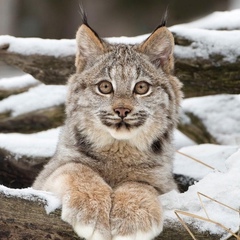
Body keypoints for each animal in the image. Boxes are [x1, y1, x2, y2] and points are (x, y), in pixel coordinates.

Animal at [32, 15, 182, 240]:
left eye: (141, 87)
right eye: (104, 87)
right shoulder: (45, 178)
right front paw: (90, 211)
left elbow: (140, 184)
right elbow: (77, 169)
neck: (119, 148)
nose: (122, 110)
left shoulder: (166, 184)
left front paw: (133, 219)